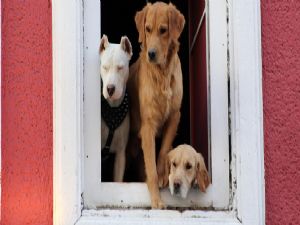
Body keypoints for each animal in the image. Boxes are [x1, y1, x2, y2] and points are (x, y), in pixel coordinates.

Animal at [128, 2, 185, 209]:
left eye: (163, 30)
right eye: (147, 29)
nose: (151, 54)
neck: (162, 74)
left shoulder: (175, 116)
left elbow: (163, 150)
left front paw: (162, 175)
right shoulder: (148, 125)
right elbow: (150, 167)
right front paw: (156, 200)